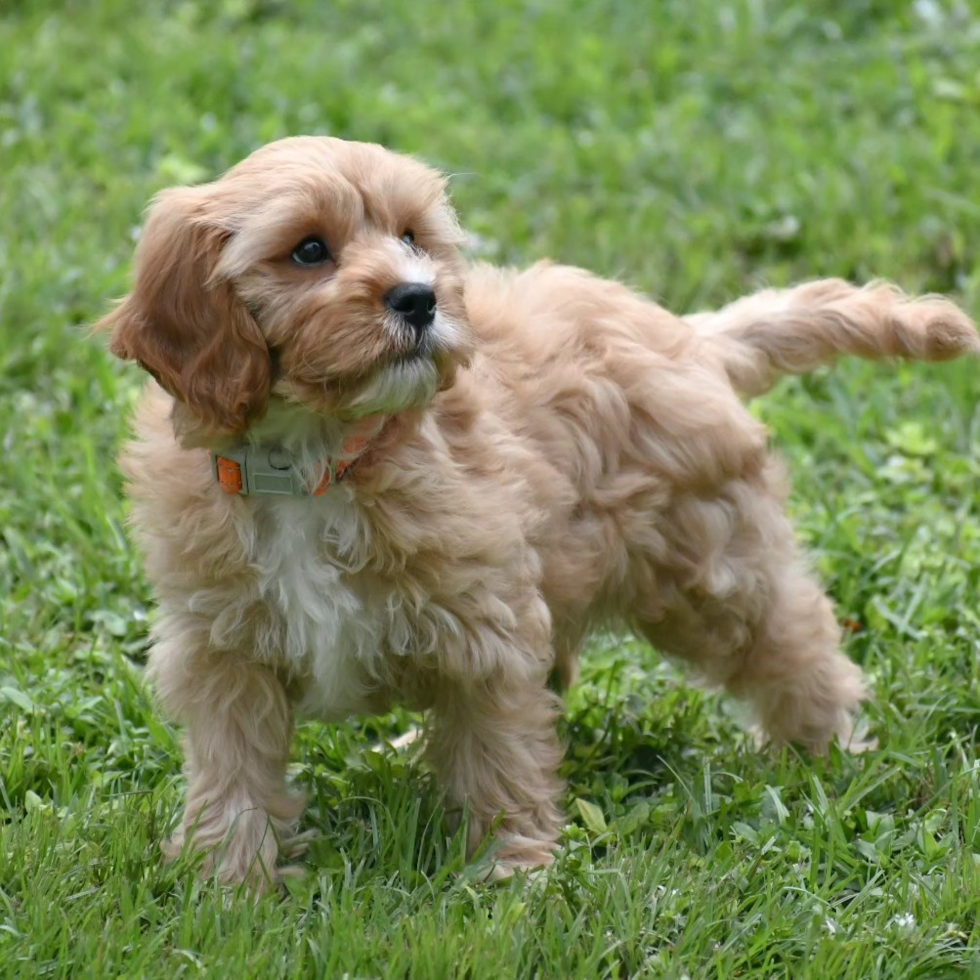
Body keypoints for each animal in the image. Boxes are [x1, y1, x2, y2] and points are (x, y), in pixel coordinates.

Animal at [95, 136, 976, 888]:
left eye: (413, 237)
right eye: (309, 250)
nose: (419, 299)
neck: (317, 460)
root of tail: (693, 337)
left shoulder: (484, 626)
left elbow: (500, 753)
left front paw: (513, 873)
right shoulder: (223, 650)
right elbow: (233, 771)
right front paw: (229, 885)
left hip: (708, 562)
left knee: (793, 641)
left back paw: (830, 749)